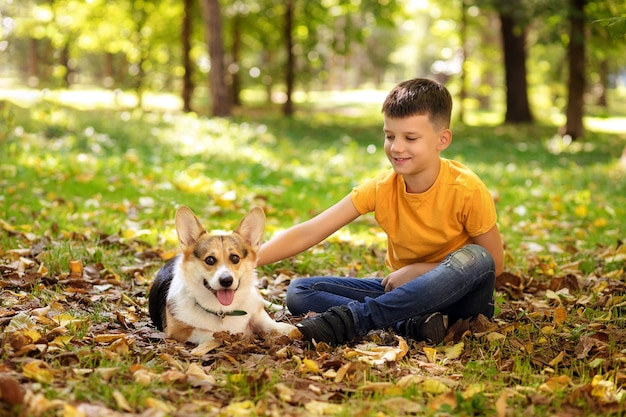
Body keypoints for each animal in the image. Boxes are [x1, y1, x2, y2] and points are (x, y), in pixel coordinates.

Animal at [147, 206, 296, 344]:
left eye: (235, 258)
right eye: (210, 260)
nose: (226, 281)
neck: (222, 311)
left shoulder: (257, 313)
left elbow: (269, 323)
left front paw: (286, 329)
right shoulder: (178, 331)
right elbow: (212, 333)